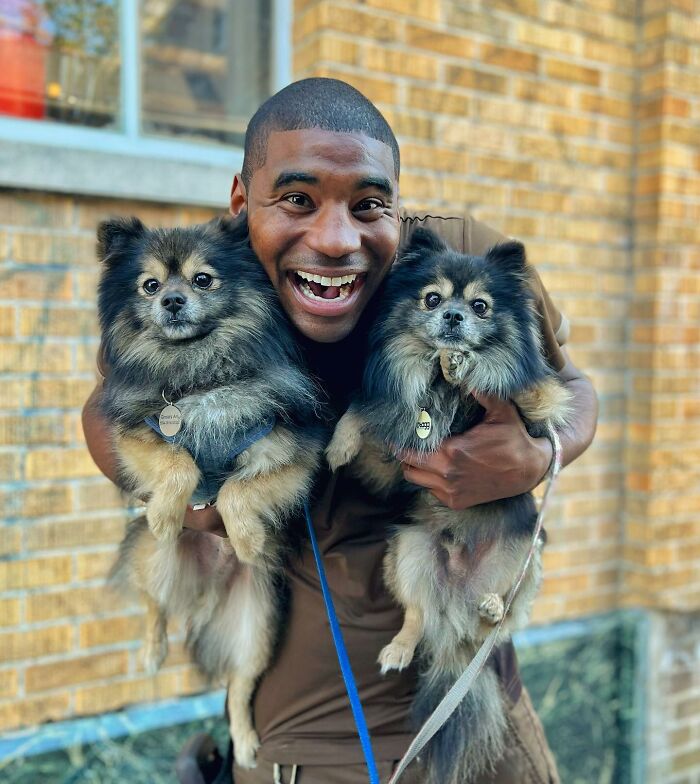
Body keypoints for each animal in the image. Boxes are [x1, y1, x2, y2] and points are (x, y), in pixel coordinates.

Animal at [100, 214, 324, 764]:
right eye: (150, 285)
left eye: (203, 280)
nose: (172, 301)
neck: (201, 377)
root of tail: (207, 586)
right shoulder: (135, 434)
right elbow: (178, 460)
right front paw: (165, 512)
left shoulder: (292, 449)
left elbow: (236, 490)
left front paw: (246, 539)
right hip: (154, 561)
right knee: (154, 605)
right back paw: (152, 651)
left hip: (257, 630)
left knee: (240, 690)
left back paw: (244, 745)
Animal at [326, 228, 572, 784]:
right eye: (432, 299)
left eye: (480, 306)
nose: (455, 317)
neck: (442, 383)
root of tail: (456, 611)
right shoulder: (397, 447)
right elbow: (364, 410)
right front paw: (338, 445)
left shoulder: (536, 406)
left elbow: (521, 390)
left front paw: (468, 363)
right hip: (410, 551)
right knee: (417, 615)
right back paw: (400, 647)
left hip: (528, 553)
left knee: (498, 624)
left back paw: (491, 606)